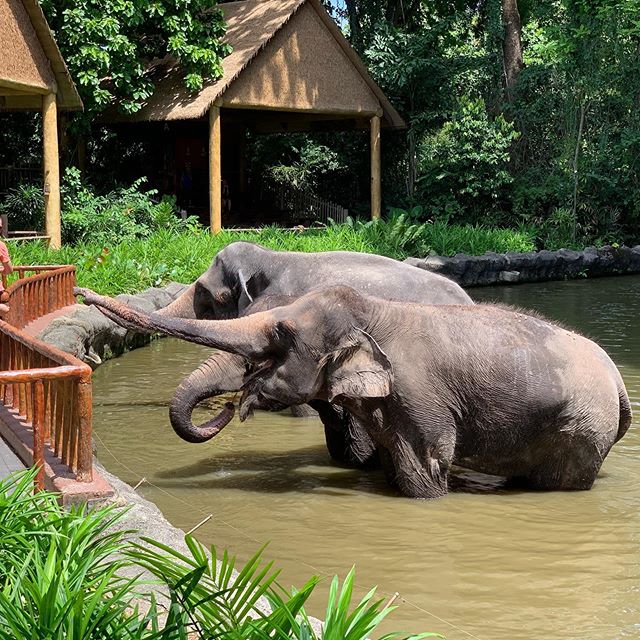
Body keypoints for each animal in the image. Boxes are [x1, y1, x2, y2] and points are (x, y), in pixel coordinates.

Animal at [75, 284, 632, 500]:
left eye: (281, 336)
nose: (229, 408)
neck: (374, 310)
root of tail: (621, 384)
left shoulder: (421, 400)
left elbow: (422, 475)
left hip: (581, 431)